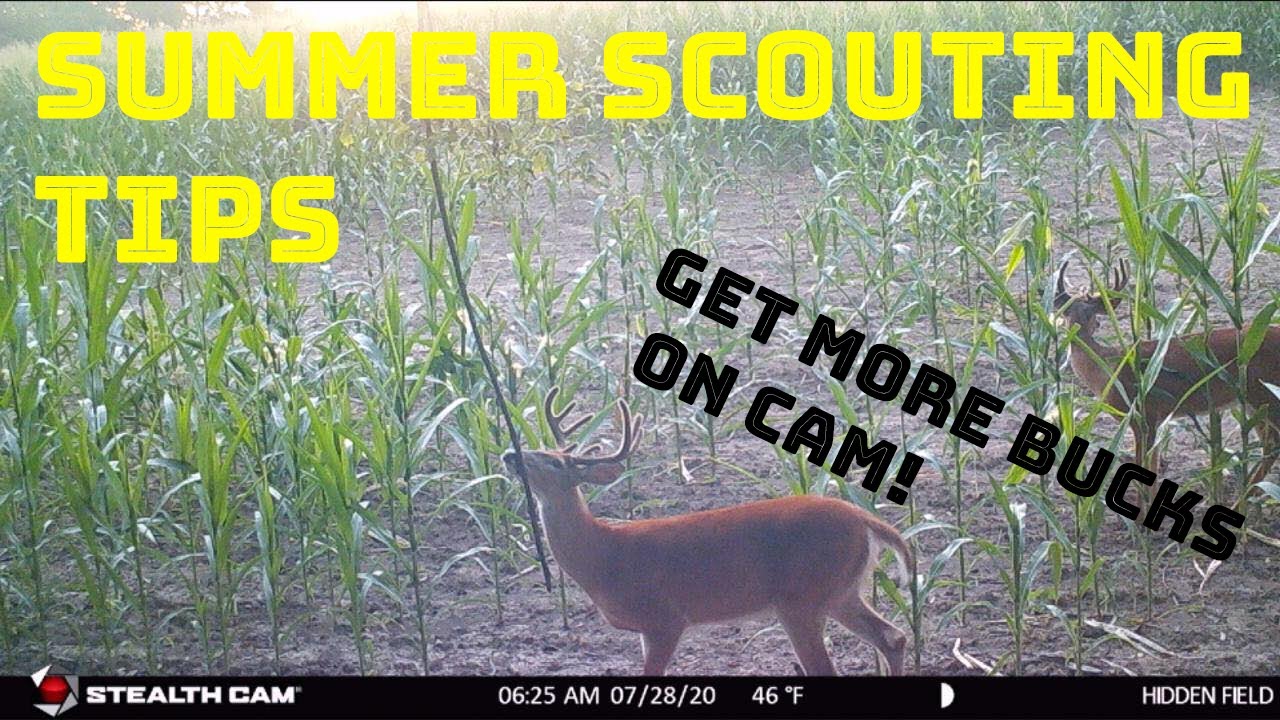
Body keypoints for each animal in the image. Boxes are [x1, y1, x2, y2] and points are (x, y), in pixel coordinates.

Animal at [501, 388, 914, 676]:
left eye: (555, 463)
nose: (509, 454)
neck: (602, 554)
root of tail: (863, 518)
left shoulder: (665, 618)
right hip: (840, 590)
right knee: (893, 637)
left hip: (803, 596)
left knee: (830, 664)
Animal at [1053, 259, 1280, 484]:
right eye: (1067, 312)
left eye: (1092, 316)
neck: (1106, 370)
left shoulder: (1146, 414)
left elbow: (1144, 467)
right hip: (1253, 400)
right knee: (1269, 443)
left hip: (1265, 392)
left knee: (1273, 443)